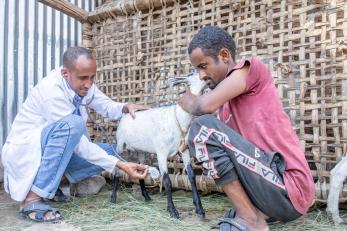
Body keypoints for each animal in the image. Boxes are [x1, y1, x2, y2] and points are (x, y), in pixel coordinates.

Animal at [112, 72, 207, 218]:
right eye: (195, 73)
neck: (180, 118)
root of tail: (125, 116)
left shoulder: (184, 150)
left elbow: (191, 176)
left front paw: (199, 209)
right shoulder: (161, 152)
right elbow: (167, 180)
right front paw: (173, 211)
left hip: (141, 151)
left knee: (141, 170)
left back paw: (146, 197)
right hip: (120, 145)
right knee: (117, 170)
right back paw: (113, 198)